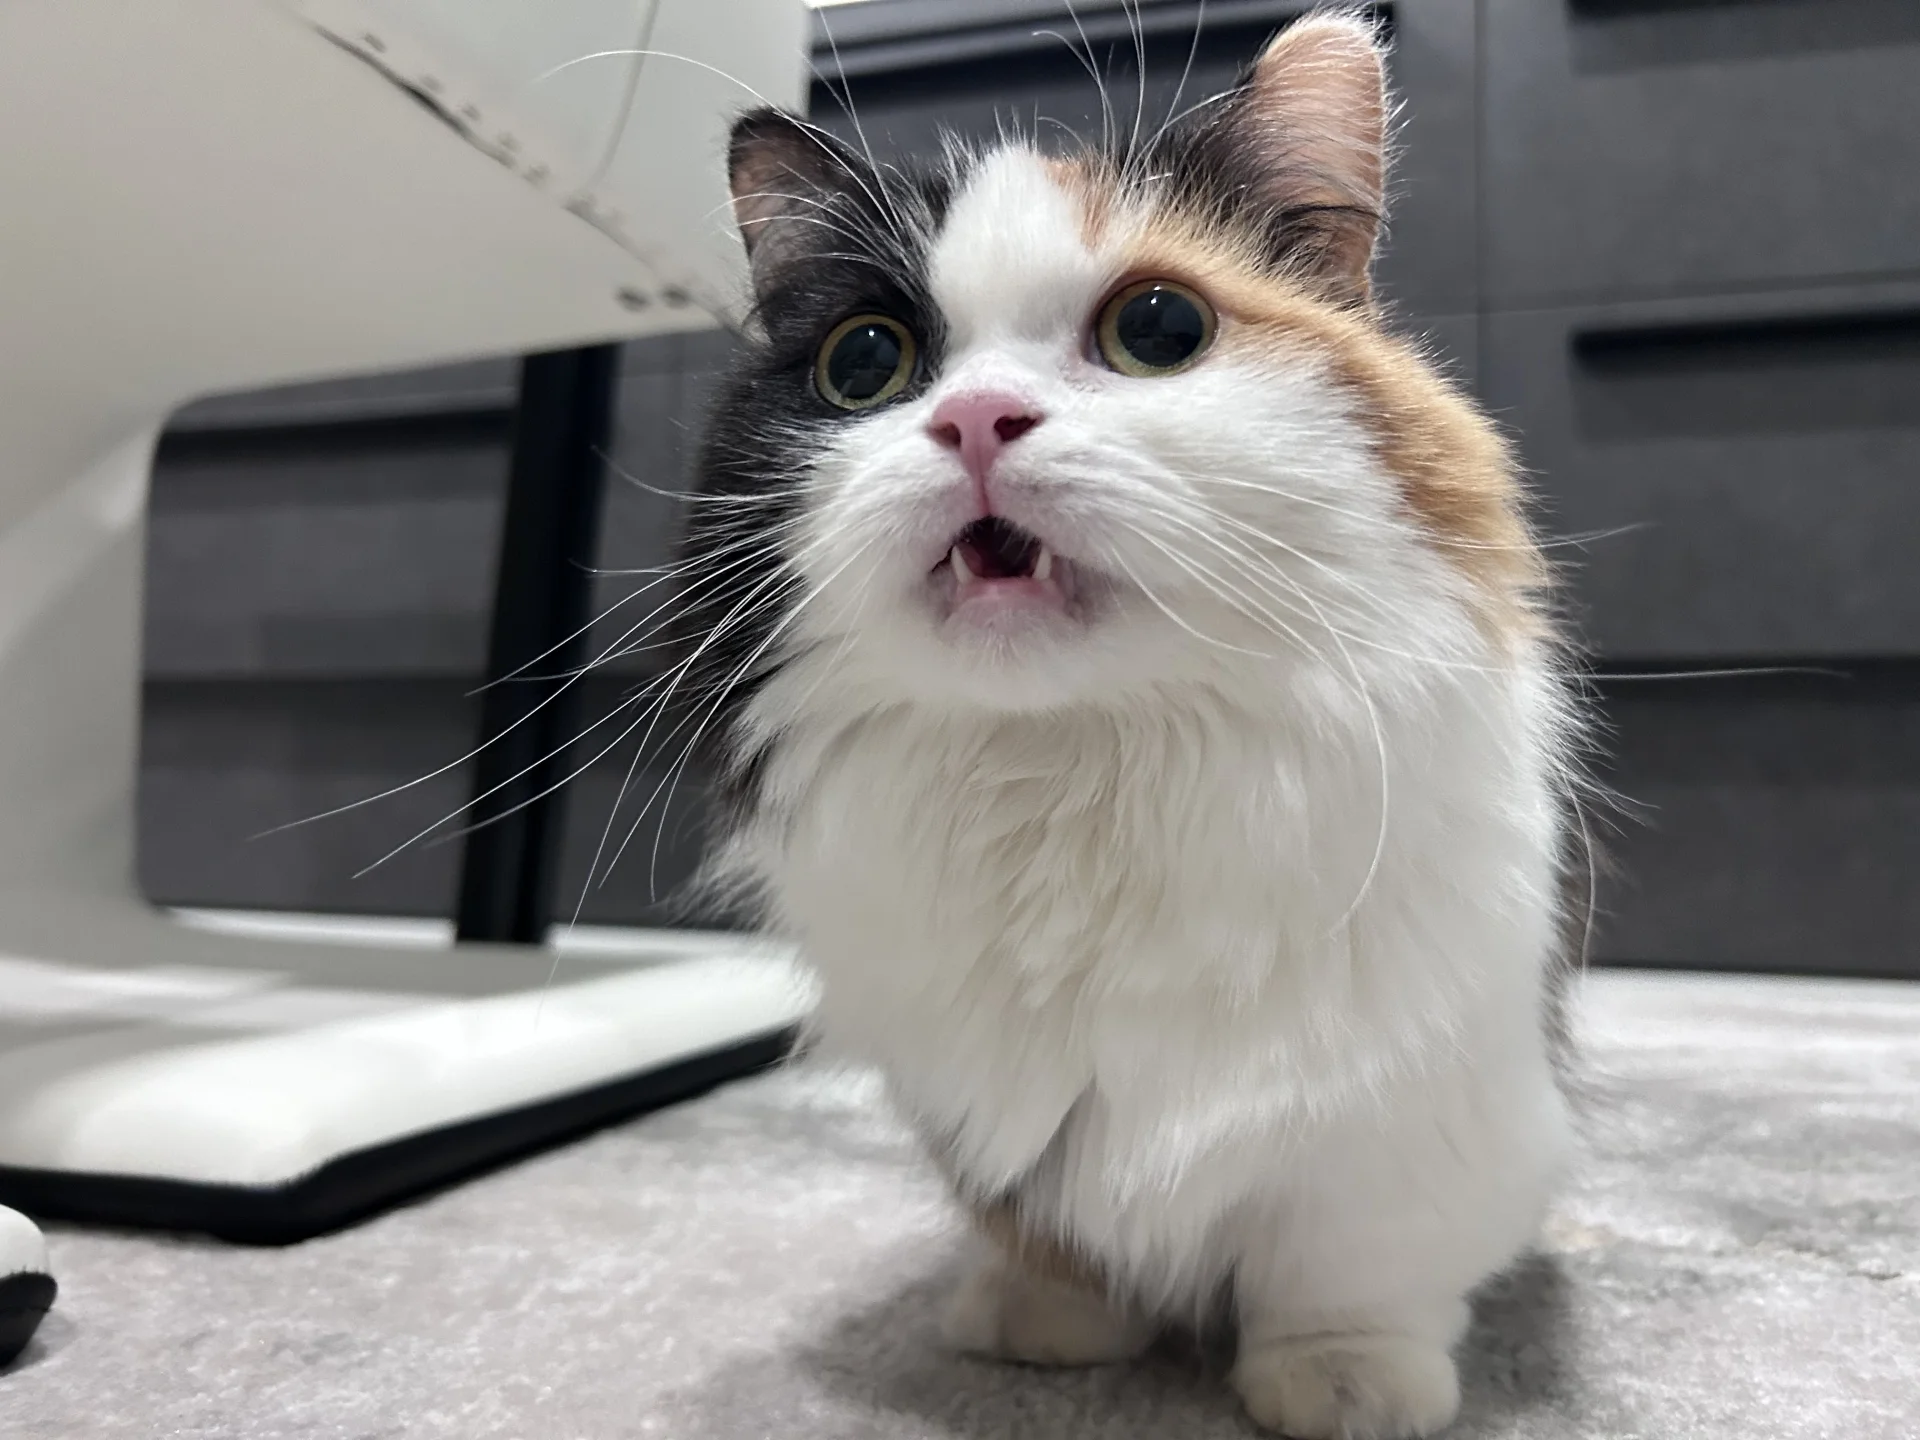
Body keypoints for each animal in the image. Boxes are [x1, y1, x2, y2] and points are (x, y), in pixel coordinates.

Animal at [668, 11, 1582, 1437]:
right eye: (866, 363)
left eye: (1157, 327)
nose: (973, 421)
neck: (1079, 763)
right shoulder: (984, 1110)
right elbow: (1046, 1233)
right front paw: (1045, 1328)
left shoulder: (1410, 1112)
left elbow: (1351, 1264)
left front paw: (1344, 1383)